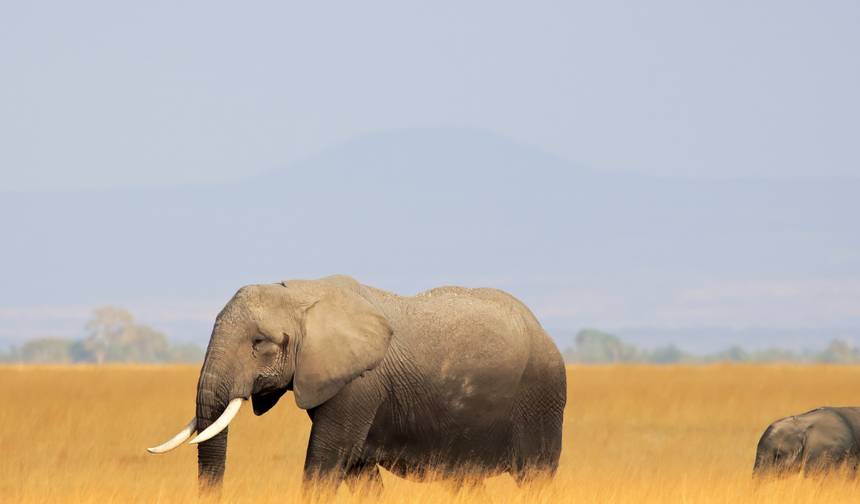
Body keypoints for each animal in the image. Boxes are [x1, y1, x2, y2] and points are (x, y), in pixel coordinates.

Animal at [147, 275, 567, 493]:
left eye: (260, 343)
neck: (301, 293)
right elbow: (357, 470)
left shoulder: (360, 385)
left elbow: (325, 460)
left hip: (540, 397)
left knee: (536, 477)